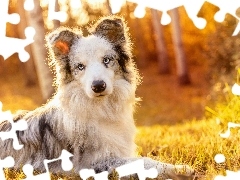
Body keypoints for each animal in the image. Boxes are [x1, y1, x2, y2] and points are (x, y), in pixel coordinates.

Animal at [0, 16, 193, 179]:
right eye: (80, 66)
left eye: (106, 60)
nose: (98, 86)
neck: (102, 108)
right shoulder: (95, 163)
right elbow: (143, 161)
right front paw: (179, 168)